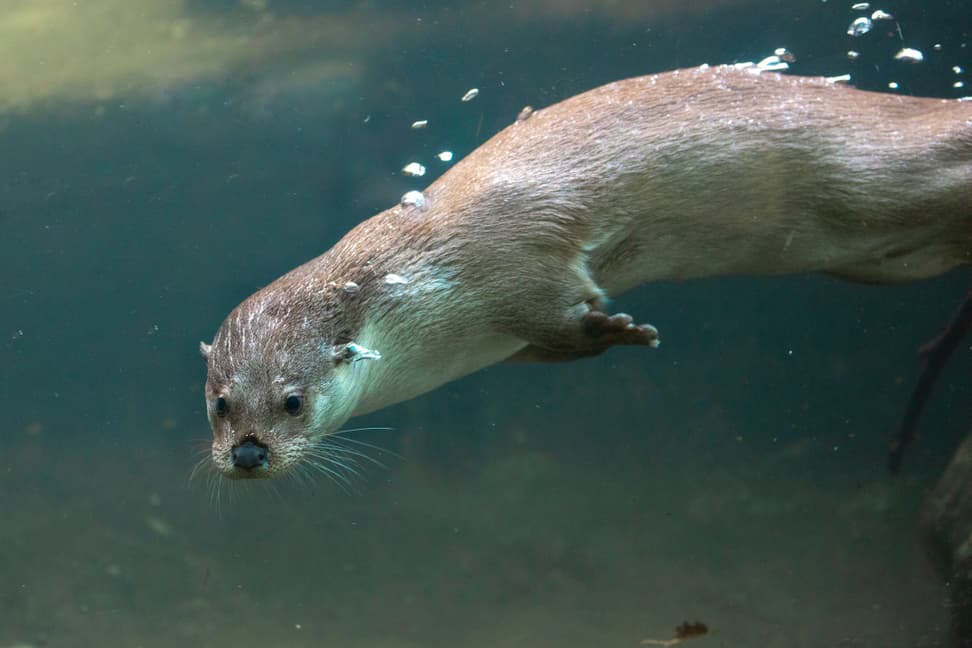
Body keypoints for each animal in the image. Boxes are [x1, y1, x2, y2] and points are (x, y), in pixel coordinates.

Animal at [199, 64, 972, 480]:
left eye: (293, 401)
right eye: (221, 404)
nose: (247, 454)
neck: (420, 284)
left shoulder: (515, 266)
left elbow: (566, 306)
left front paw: (622, 330)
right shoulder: (506, 337)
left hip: (876, 177)